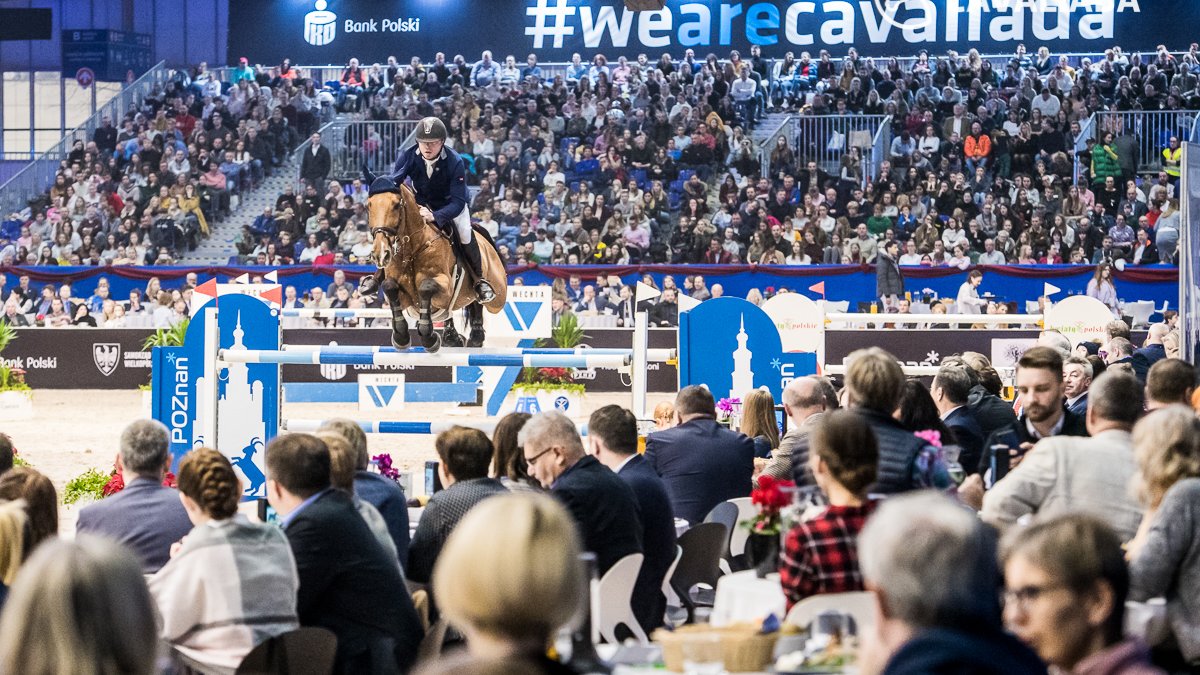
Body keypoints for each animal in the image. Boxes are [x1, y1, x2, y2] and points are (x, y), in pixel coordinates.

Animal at [360, 172, 501, 353]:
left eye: (397, 205)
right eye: (368, 206)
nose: (381, 253)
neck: (412, 249)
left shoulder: (446, 286)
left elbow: (426, 287)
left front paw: (429, 338)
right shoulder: (403, 296)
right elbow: (389, 286)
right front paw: (401, 336)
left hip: (497, 292)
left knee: (479, 302)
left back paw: (477, 331)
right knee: (450, 313)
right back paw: (452, 337)